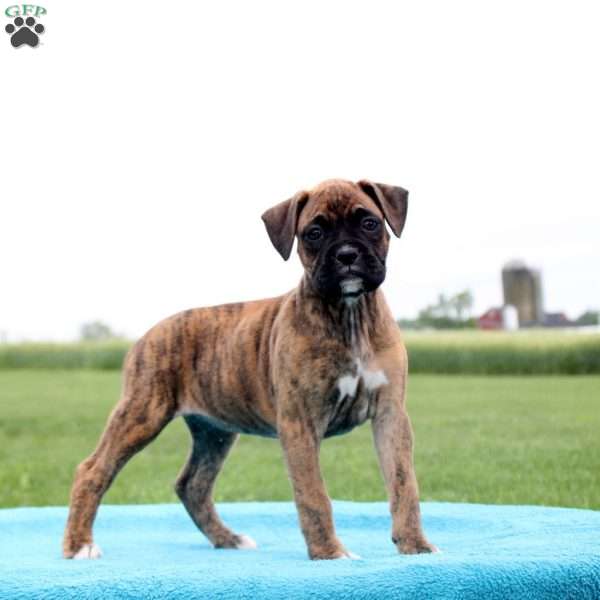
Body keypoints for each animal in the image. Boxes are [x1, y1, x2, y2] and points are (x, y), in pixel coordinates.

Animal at [63, 178, 436, 560]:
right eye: (314, 233)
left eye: (370, 223)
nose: (347, 255)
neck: (350, 313)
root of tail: (148, 334)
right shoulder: (300, 423)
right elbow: (314, 495)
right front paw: (330, 553)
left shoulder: (390, 415)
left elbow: (404, 484)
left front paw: (415, 545)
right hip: (143, 412)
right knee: (92, 471)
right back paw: (79, 545)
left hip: (213, 431)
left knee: (192, 485)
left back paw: (227, 539)